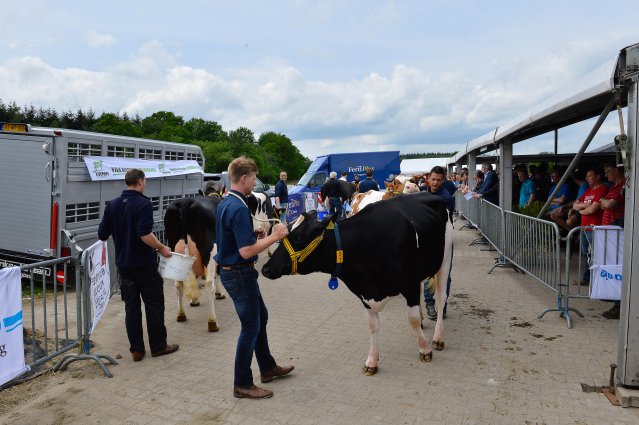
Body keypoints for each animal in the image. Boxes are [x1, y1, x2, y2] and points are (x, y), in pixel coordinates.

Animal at [165, 195, 228, 332]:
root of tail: (185, 201)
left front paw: (194, 300)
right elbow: (217, 274)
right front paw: (219, 294)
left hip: (173, 250)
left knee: (178, 285)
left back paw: (181, 315)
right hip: (209, 250)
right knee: (209, 283)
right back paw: (212, 322)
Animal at [262, 192, 456, 374]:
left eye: (299, 237)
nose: (266, 269)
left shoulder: (409, 284)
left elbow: (412, 319)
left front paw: (425, 349)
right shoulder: (364, 292)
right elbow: (373, 326)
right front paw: (372, 362)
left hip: (445, 259)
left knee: (441, 297)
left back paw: (438, 338)